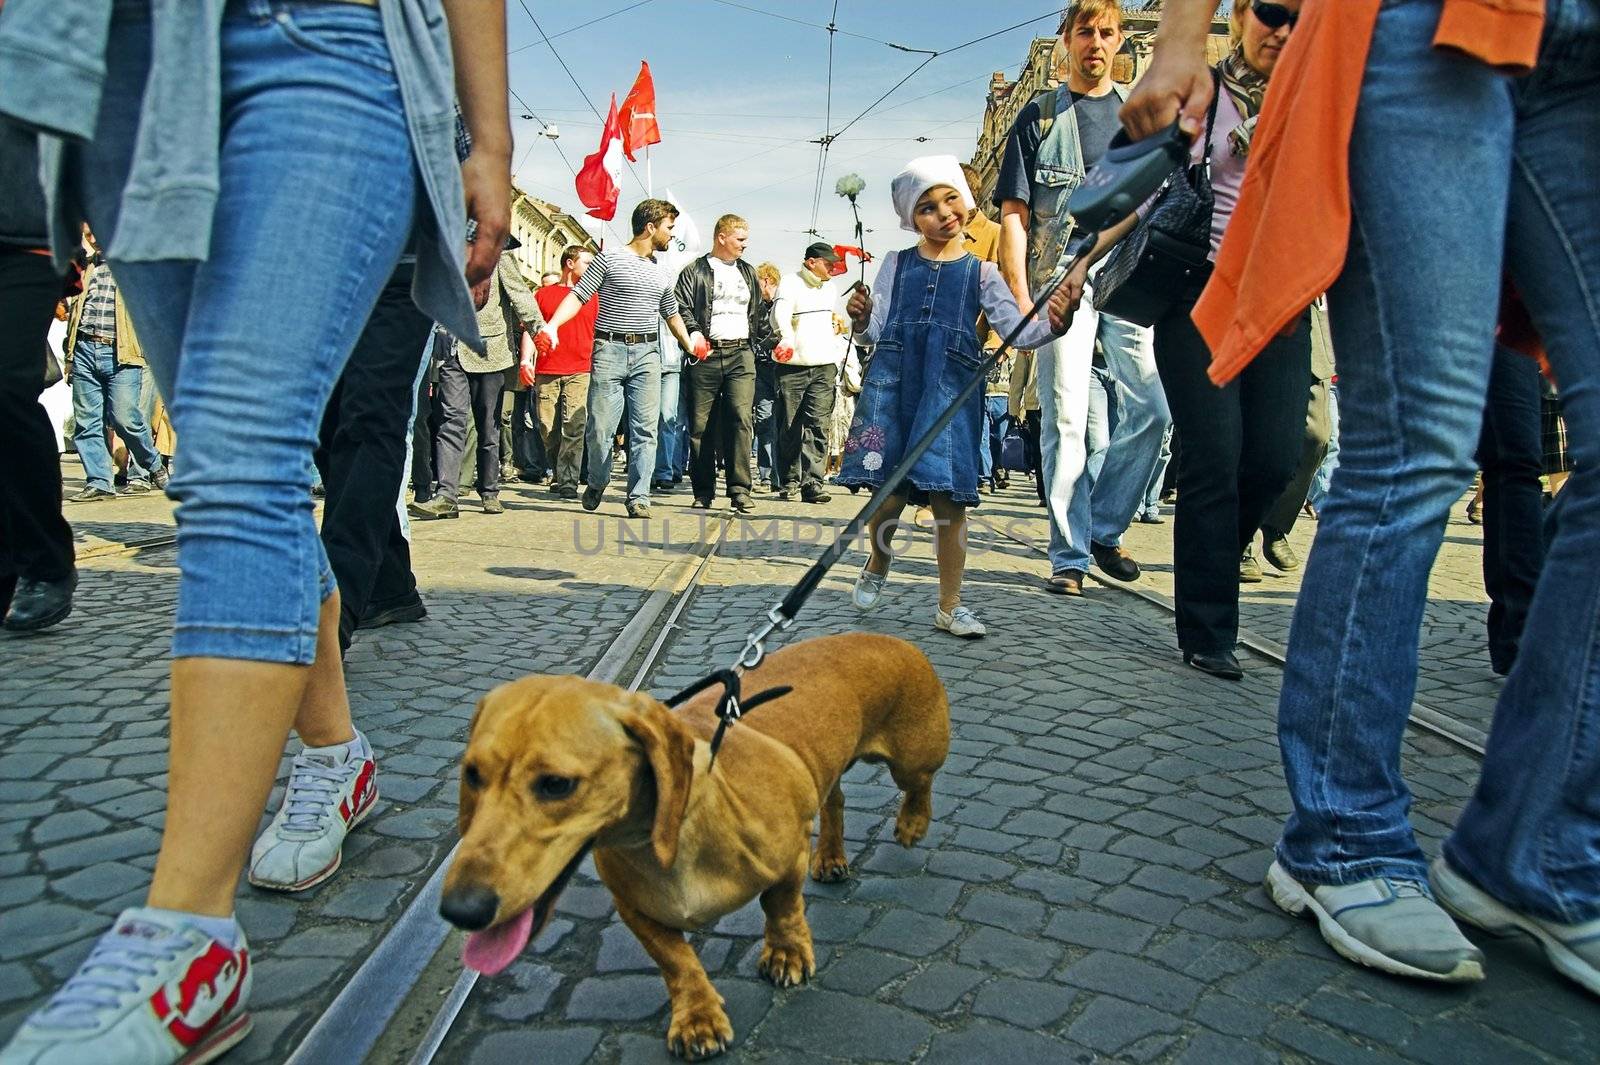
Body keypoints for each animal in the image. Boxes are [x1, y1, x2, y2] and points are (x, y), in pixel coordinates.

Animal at [438, 630, 947, 1055]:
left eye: (557, 784)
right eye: (472, 775)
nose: (460, 911)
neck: (669, 841)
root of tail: (886, 636)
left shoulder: (787, 864)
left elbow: (781, 908)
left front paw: (786, 954)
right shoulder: (637, 911)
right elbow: (677, 963)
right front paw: (698, 1019)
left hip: (912, 759)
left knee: (919, 783)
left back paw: (911, 823)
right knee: (835, 800)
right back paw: (832, 856)